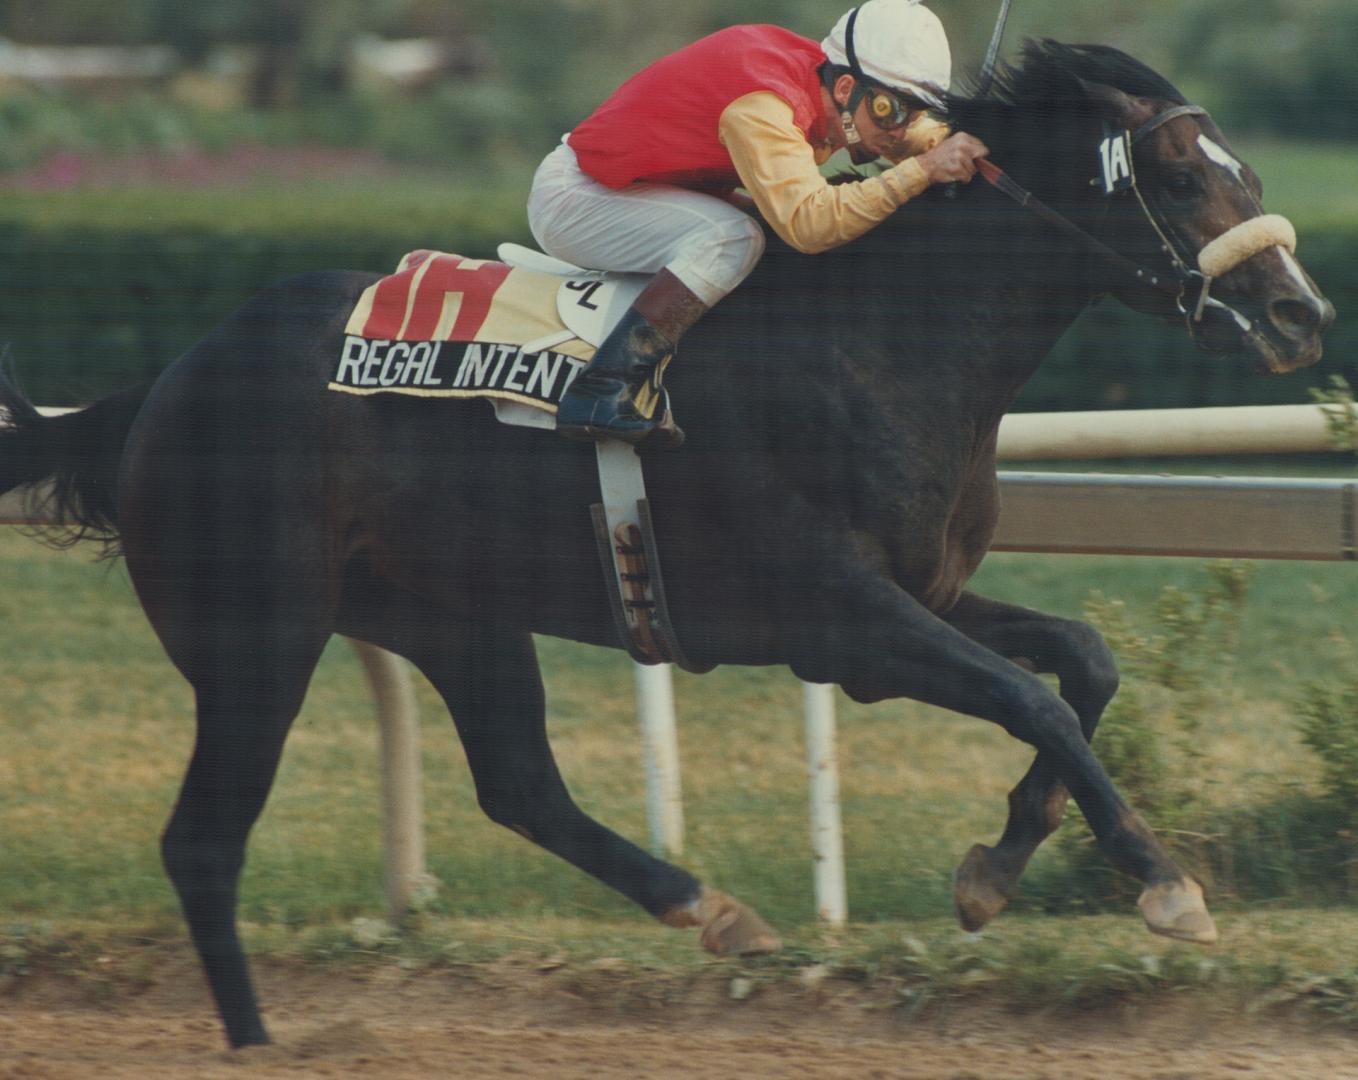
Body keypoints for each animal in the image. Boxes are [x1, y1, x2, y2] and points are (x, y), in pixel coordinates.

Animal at [0, 42, 1336, 1048]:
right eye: (1178, 176)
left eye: (1240, 167)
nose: (1299, 313)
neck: (883, 339)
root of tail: (165, 381)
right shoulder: (839, 622)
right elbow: (1036, 697)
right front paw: (1160, 886)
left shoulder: (918, 595)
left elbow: (1083, 662)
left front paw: (993, 870)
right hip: (256, 638)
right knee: (204, 843)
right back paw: (255, 1043)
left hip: (449, 613)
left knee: (519, 784)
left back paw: (709, 908)